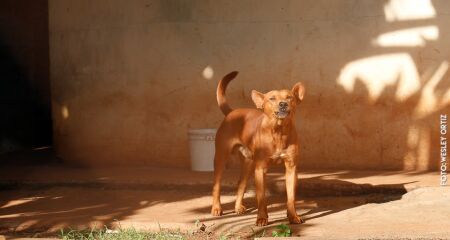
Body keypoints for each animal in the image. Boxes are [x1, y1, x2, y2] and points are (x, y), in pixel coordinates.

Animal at [212, 70, 306, 226]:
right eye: (272, 98)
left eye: (289, 97)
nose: (283, 104)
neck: (278, 131)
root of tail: (232, 112)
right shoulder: (260, 169)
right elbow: (261, 199)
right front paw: (262, 218)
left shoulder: (291, 168)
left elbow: (291, 198)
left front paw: (293, 216)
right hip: (221, 158)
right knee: (216, 186)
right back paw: (216, 208)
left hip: (248, 164)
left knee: (241, 184)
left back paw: (237, 207)